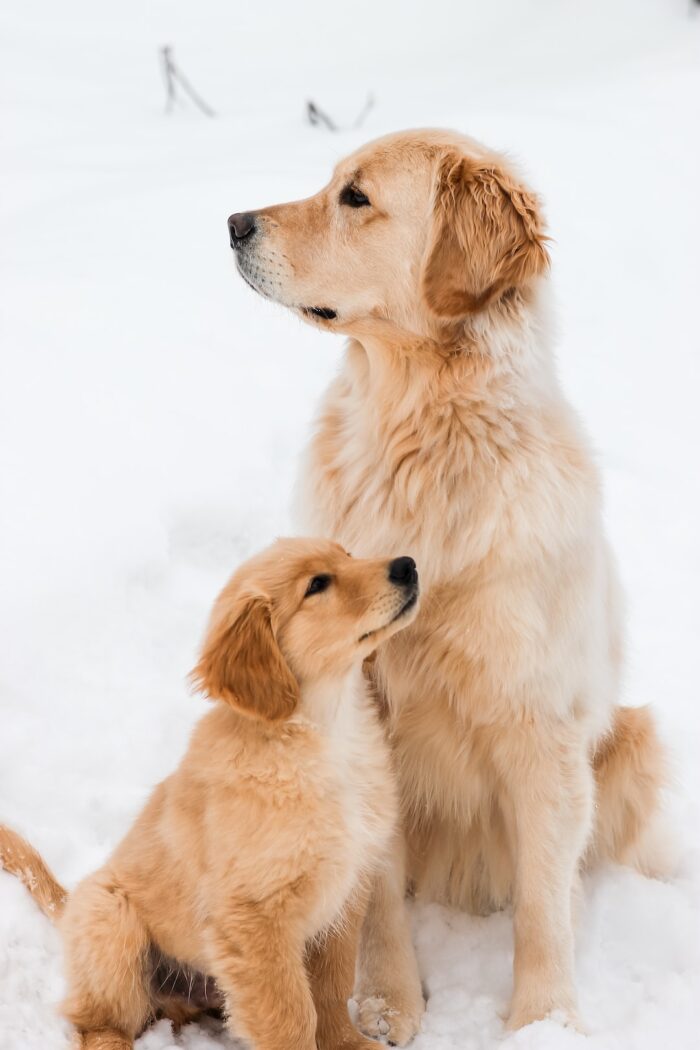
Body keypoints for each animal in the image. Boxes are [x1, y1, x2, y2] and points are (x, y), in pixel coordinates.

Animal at [0, 541, 421, 1050]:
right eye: (317, 584)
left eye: (348, 554)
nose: (407, 565)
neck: (328, 729)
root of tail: (72, 902)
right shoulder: (254, 917)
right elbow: (291, 1015)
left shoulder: (344, 897)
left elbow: (330, 990)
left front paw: (347, 1043)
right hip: (112, 923)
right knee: (98, 1020)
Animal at [225, 129, 667, 1033]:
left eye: (355, 198)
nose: (233, 224)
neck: (421, 435)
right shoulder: (370, 714)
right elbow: (380, 893)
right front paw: (385, 1006)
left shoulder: (540, 723)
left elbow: (542, 903)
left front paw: (544, 1022)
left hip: (637, 740)